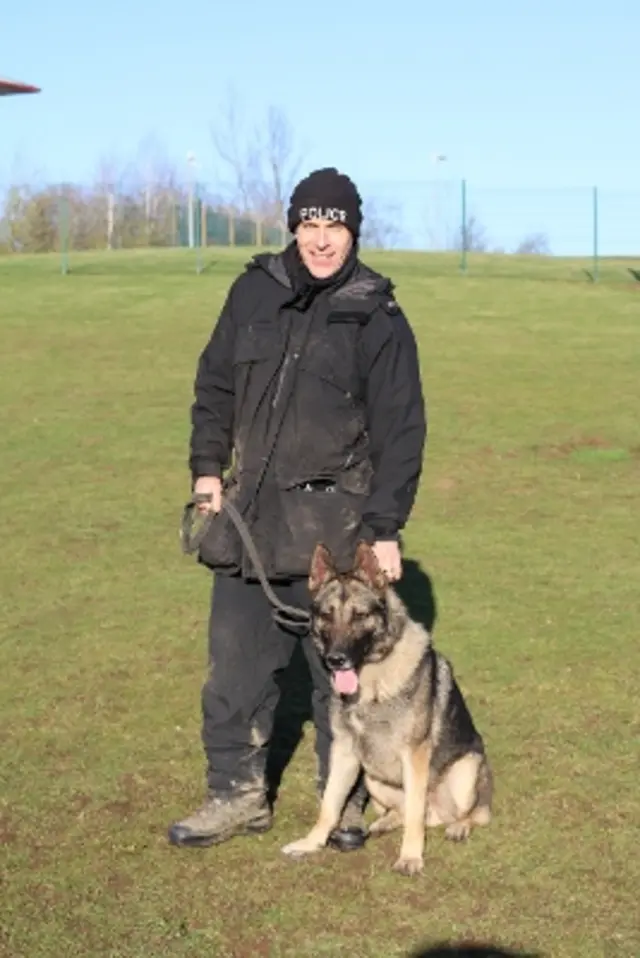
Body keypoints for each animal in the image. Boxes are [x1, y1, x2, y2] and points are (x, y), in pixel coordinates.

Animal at [282, 540, 496, 876]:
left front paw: (410, 857)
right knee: (406, 811)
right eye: (327, 615)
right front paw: (311, 843)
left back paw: (459, 826)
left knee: (472, 813)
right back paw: (383, 823)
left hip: (466, 770)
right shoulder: (344, 751)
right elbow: (330, 804)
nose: (335, 660)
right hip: (372, 777)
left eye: (359, 615)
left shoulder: (414, 754)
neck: (371, 684)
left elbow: (415, 815)